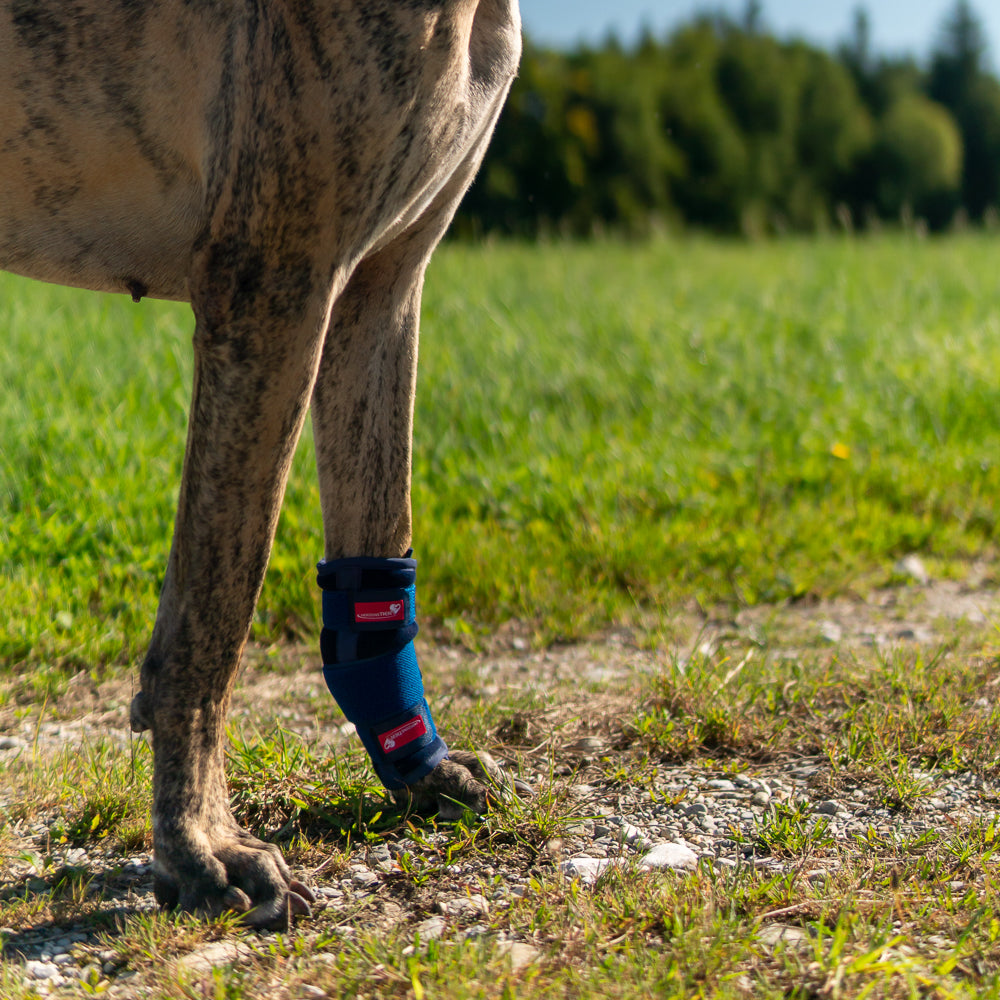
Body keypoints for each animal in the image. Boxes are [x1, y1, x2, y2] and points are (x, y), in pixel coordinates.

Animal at [3, 0, 524, 924]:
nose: (419, 762)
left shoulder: (382, 286)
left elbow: (378, 537)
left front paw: (418, 766)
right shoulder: (274, 279)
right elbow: (213, 611)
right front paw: (199, 845)